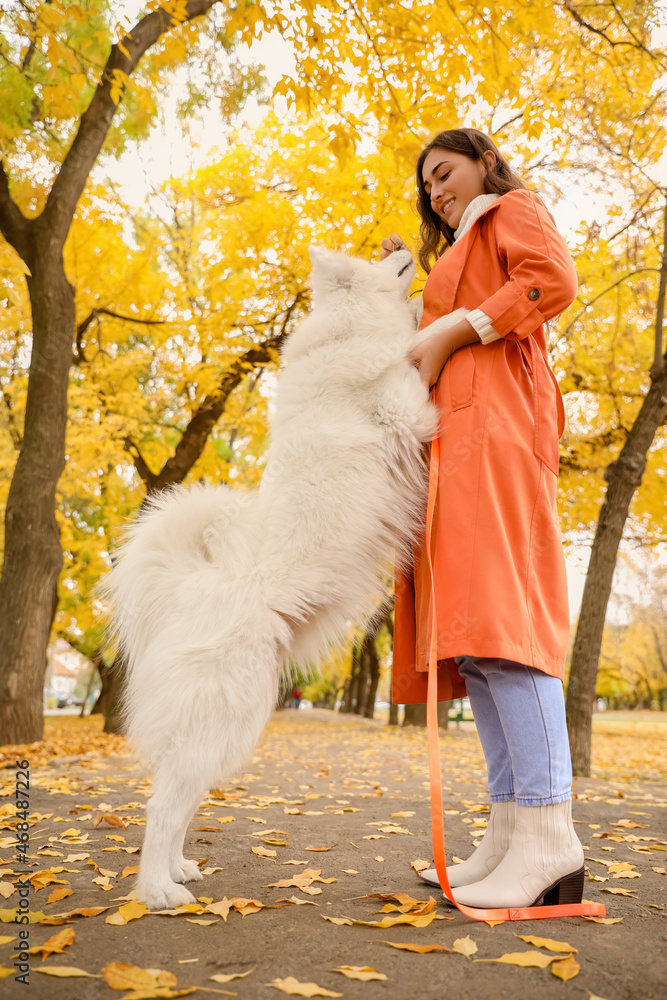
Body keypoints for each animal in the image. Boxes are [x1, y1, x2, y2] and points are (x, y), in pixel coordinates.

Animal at [103, 246, 470, 912]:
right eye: (377, 258)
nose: (404, 244)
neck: (345, 331)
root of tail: (192, 591)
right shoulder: (409, 410)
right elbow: (413, 355)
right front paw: (446, 325)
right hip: (222, 712)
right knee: (163, 804)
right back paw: (157, 891)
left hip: (233, 724)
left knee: (180, 800)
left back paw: (179, 872)